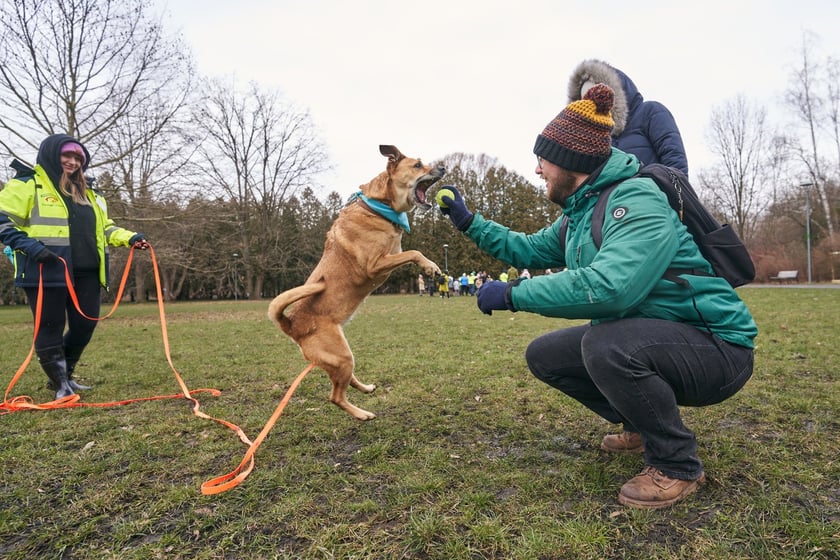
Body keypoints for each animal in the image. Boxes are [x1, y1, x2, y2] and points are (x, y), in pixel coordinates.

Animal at [270, 144, 442, 420]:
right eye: (418, 165)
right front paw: (430, 266)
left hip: (343, 356)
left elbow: (408, 252)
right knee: (335, 396)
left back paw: (366, 388)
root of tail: (291, 325)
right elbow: (414, 252)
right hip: (341, 356)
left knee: (344, 381)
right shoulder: (375, 264)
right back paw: (362, 414)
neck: (379, 207)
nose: (443, 168)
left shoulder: (390, 255)